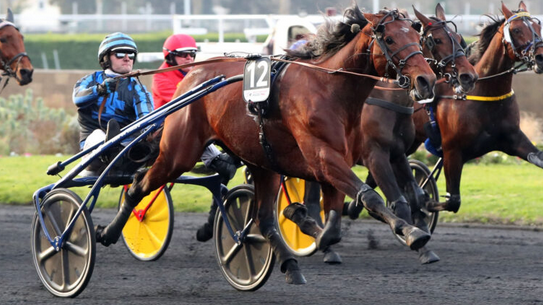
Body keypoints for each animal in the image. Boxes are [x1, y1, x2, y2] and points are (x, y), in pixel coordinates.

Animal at [95, 4, 436, 284]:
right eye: (389, 39)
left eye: (417, 38)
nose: (426, 81)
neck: (329, 88)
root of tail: (192, 77)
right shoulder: (325, 157)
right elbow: (369, 197)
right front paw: (412, 232)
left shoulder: (337, 160)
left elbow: (333, 222)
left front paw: (305, 222)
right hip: (179, 153)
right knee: (140, 184)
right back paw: (109, 231)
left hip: (262, 162)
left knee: (264, 218)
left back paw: (288, 263)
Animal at [408, 1, 543, 214]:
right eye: (516, 30)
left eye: (538, 27)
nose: (540, 58)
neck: (485, 94)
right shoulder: (452, 151)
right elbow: (452, 200)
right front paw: (423, 202)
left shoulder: (513, 140)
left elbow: (538, 157)